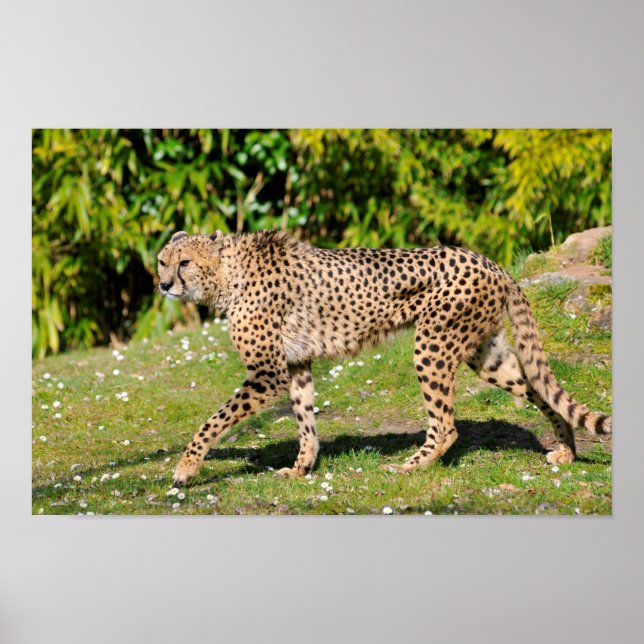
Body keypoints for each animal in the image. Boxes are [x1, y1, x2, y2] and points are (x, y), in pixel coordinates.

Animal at [157, 229, 612, 485]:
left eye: (184, 263)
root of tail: (489, 261)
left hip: (432, 344)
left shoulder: (268, 372)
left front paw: (186, 466)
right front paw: (302, 468)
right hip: (485, 354)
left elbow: (213, 420)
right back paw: (567, 450)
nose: (163, 285)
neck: (228, 273)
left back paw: (411, 467)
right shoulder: (295, 365)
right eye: (162, 262)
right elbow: (305, 421)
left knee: (446, 425)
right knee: (539, 388)